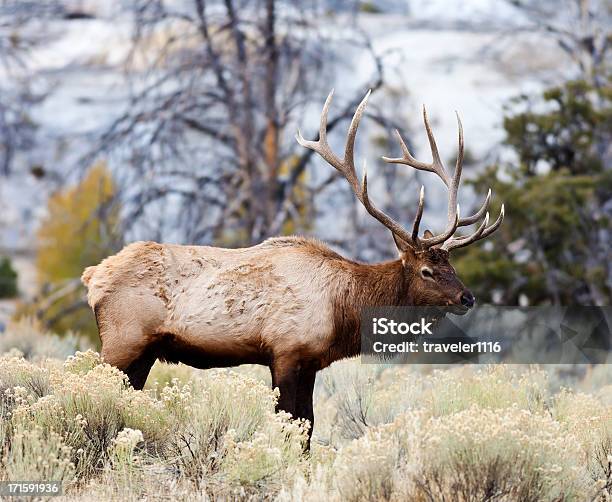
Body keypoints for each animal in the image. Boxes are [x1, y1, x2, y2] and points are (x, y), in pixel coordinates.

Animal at [80, 90, 502, 448]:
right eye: (427, 271)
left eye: (451, 264)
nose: (467, 297)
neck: (343, 310)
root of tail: (93, 277)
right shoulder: (285, 350)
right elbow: (288, 422)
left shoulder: (312, 362)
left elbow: (308, 425)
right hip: (121, 339)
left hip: (145, 351)